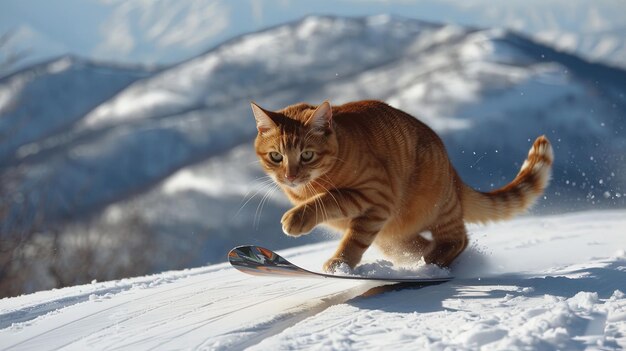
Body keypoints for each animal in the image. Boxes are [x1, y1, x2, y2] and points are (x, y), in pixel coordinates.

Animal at [249, 100, 552, 274]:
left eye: (307, 155)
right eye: (276, 156)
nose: (290, 176)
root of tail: (452, 169)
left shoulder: (376, 194)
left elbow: (335, 209)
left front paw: (338, 263)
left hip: (435, 207)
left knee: (458, 239)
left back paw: (432, 265)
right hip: (393, 236)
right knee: (422, 244)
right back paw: (422, 263)